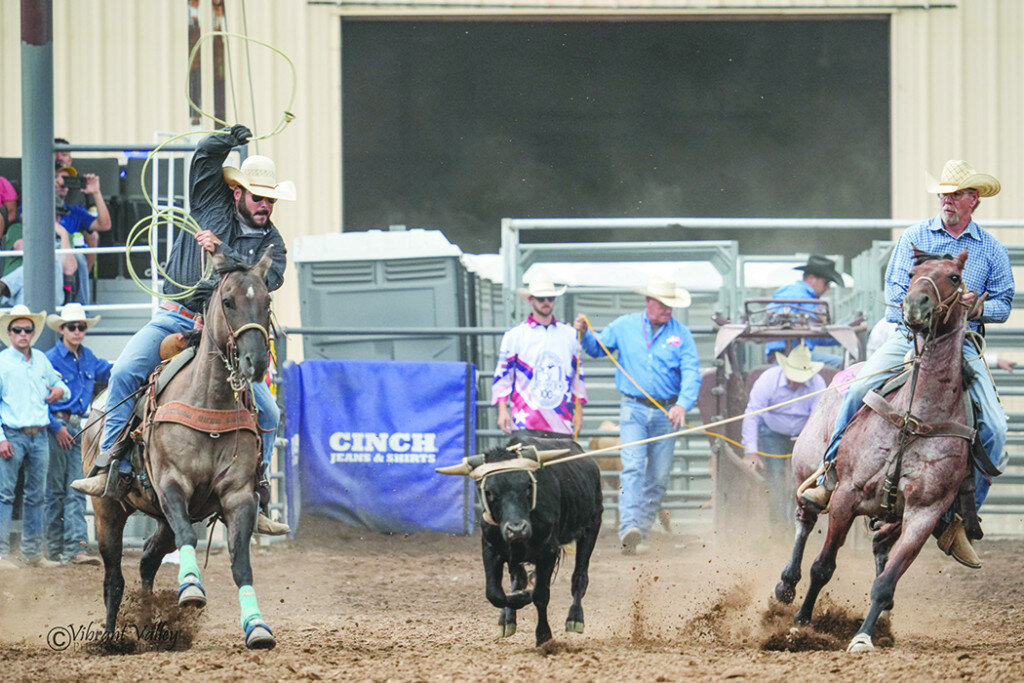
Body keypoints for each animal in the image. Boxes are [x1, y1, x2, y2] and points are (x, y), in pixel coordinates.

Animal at [81, 248, 276, 651]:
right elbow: (189, 537)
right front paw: (190, 588)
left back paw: (149, 624)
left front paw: (257, 627)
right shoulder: (172, 483)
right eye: (229, 301)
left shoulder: (238, 496)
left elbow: (241, 564)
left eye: (267, 302)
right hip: (108, 510)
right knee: (113, 577)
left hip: (160, 514)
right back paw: (110, 639)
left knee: (147, 560)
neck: (209, 400)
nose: (256, 361)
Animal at [770, 249, 978, 651]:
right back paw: (786, 585)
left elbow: (886, 582)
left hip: (891, 517)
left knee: (881, 547)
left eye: (955, 276)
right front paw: (801, 623)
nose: (915, 304)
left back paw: (880, 620)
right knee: (805, 519)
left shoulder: (924, 513)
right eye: (913, 272)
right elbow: (823, 566)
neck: (915, 416)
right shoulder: (846, 496)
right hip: (808, 472)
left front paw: (864, 636)